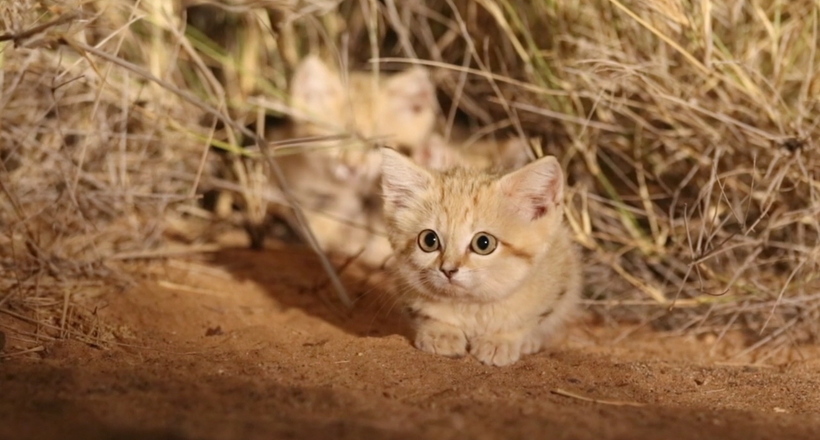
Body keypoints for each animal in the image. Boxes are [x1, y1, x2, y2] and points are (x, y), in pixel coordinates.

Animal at [382, 148, 580, 364]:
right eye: (429, 240)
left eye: (483, 243)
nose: (448, 270)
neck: (471, 306)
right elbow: (428, 314)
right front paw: (441, 333)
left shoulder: (558, 282)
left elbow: (526, 321)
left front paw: (500, 340)